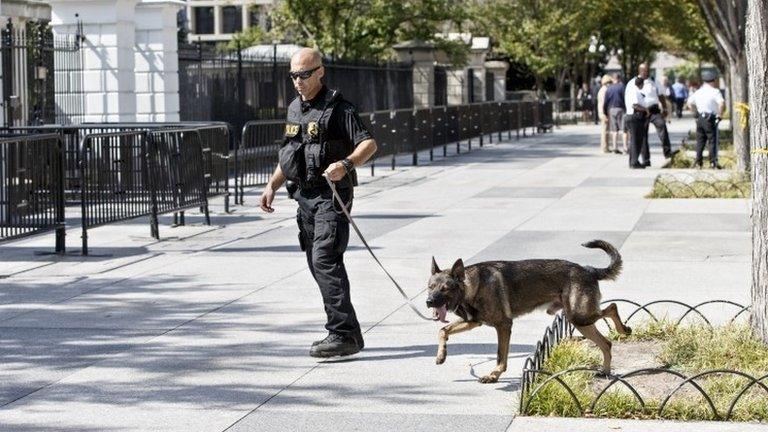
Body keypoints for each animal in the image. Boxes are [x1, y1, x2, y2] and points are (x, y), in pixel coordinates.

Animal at [426, 240, 632, 384]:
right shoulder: (473, 322)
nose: (428, 302)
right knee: (606, 342)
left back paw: (623, 330)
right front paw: (441, 355)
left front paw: (494, 376)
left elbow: (501, 356)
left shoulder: (503, 325)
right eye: (430, 287)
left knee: (612, 308)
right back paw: (606, 371)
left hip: (579, 316)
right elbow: (443, 331)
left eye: (445, 289)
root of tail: (589, 270)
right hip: (580, 321)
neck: (471, 286)